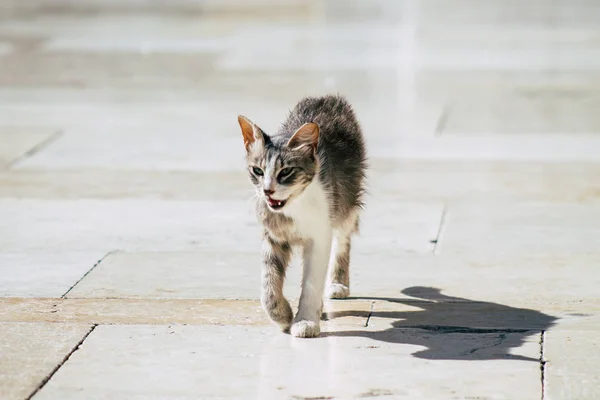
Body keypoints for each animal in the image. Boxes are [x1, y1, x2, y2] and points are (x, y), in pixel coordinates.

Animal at [238, 94, 368, 338]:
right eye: (258, 171)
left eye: (286, 171)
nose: (267, 190)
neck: (292, 208)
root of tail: (326, 98)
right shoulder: (272, 236)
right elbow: (268, 283)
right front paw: (282, 315)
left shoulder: (319, 237)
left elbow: (311, 283)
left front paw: (306, 320)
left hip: (345, 198)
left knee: (343, 238)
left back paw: (337, 283)